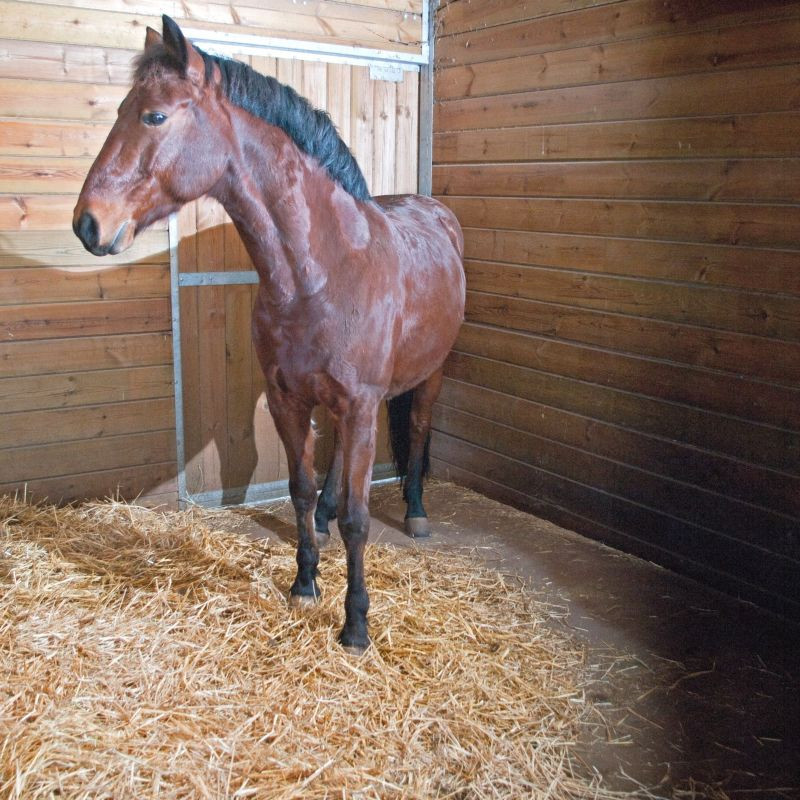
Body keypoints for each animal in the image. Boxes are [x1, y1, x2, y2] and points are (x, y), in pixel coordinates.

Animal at [73, 15, 465, 654]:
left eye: (154, 116)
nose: (88, 223)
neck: (323, 270)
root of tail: (435, 213)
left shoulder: (361, 404)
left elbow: (360, 517)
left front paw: (356, 623)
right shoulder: (288, 398)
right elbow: (301, 488)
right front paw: (305, 582)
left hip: (429, 374)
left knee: (417, 430)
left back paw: (415, 512)